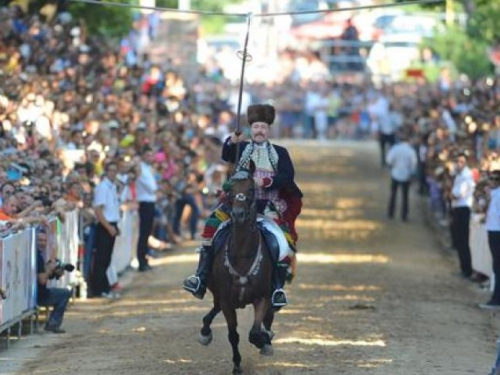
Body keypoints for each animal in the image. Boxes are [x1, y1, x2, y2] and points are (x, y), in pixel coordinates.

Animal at [197, 166, 276, 374]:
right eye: (230, 190)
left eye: (251, 189)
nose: (238, 214)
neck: (242, 255)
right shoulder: (226, 300)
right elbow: (233, 335)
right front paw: (237, 365)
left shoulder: (262, 297)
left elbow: (255, 332)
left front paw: (264, 341)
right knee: (215, 307)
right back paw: (205, 331)